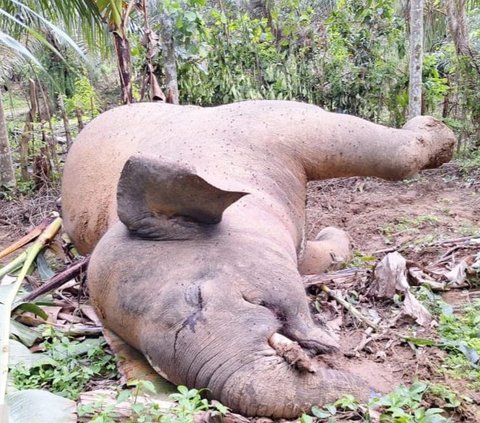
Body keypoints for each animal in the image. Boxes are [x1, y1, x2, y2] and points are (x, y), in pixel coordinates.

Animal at [60, 101, 454, 420]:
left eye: (197, 298)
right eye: (158, 366)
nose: (383, 393)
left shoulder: (272, 122)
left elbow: (392, 157)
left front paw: (439, 133)